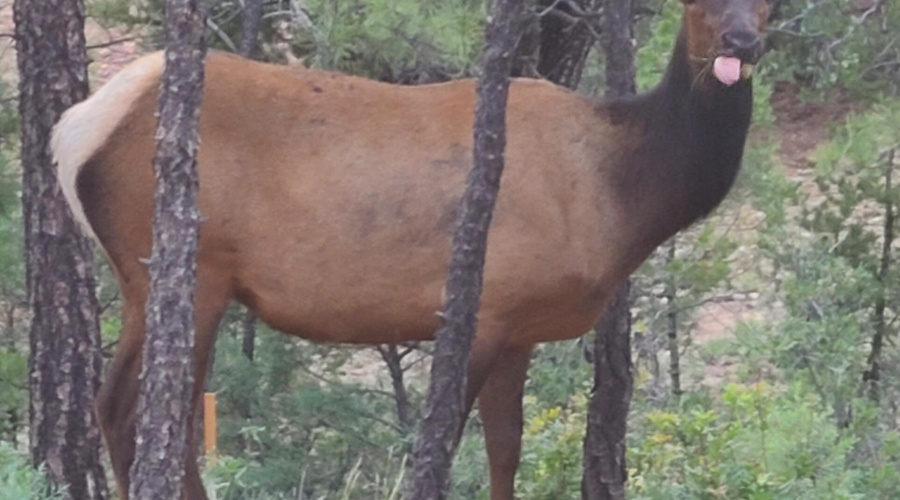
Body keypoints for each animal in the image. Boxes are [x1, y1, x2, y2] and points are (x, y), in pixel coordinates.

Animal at [51, 0, 769, 498]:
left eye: (767, 0)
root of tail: (73, 133)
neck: (619, 191)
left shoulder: (522, 328)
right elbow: (444, 442)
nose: (742, 42)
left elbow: (505, 449)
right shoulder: (486, 305)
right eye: (697, 2)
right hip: (185, 267)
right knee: (135, 410)